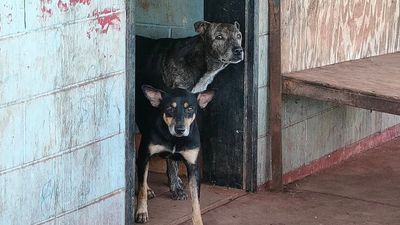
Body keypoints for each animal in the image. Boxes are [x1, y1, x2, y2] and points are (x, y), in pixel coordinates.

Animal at [135, 85, 216, 224]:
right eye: (169, 108)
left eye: (189, 109)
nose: (180, 129)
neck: (174, 139)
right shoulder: (144, 155)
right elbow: (141, 188)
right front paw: (141, 211)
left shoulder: (193, 167)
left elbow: (196, 201)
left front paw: (198, 221)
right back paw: (149, 188)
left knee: (171, 162)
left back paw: (176, 187)